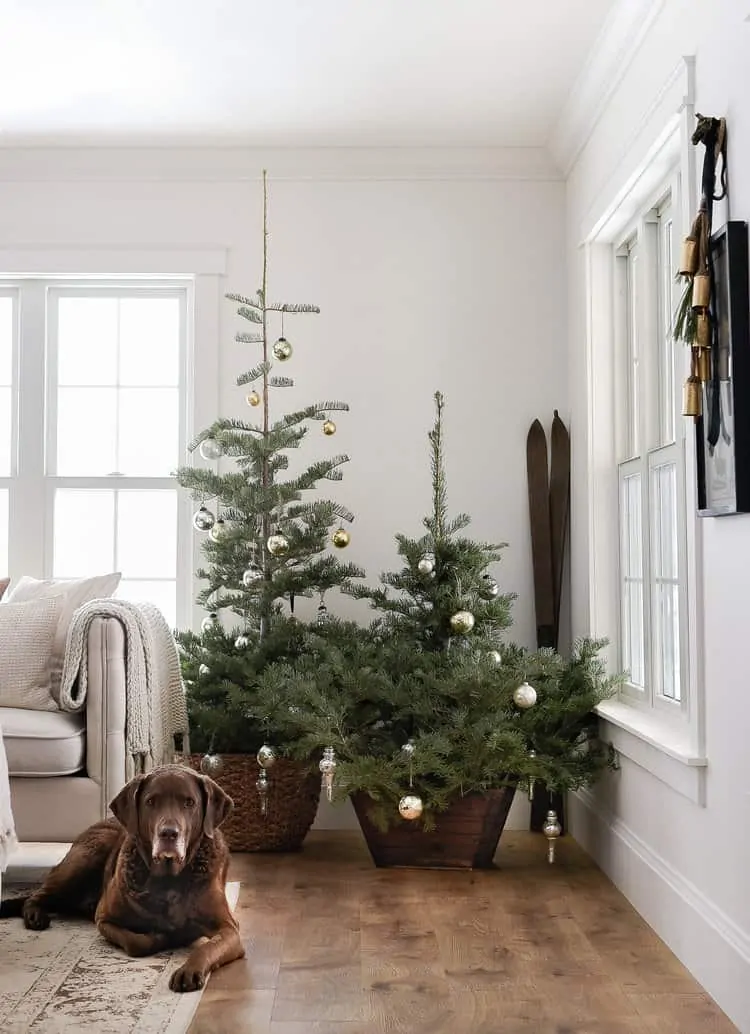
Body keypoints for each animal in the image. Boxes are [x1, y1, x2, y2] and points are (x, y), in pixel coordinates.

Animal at [0, 765, 243, 988]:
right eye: (151, 802)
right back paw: (35, 915)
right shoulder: (104, 918)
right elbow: (137, 941)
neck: (167, 880)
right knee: (39, 894)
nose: (168, 833)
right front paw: (162, 936)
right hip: (86, 856)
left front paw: (189, 971)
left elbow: (208, 946)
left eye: (189, 802)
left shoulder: (230, 929)